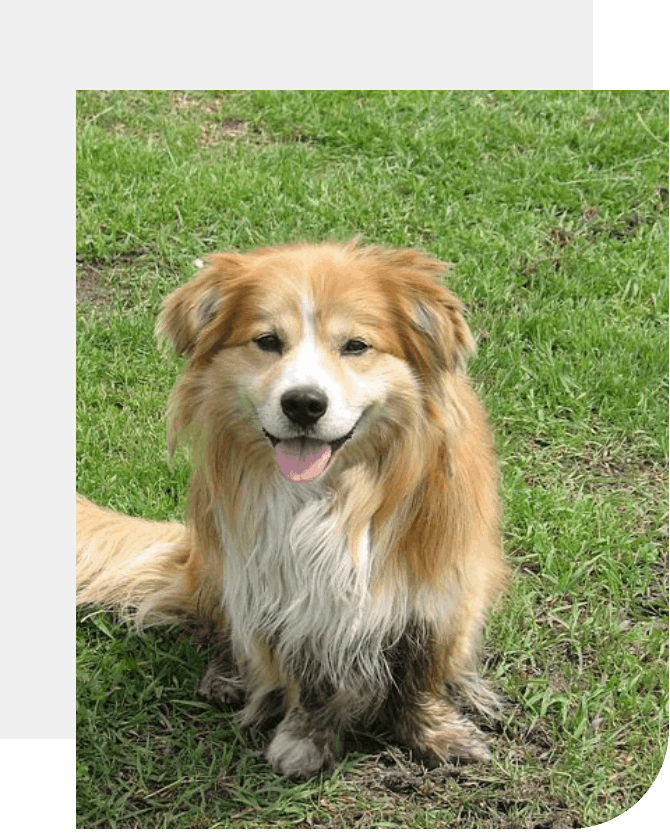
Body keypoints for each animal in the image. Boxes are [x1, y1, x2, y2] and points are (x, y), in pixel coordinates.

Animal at [77, 240, 510, 776]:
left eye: (356, 346)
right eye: (267, 341)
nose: (303, 403)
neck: (330, 495)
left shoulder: (439, 591)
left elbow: (421, 674)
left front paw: (435, 733)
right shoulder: (285, 593)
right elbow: (309, 674)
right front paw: (305, 739)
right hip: (217, 569)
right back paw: (229, 676)